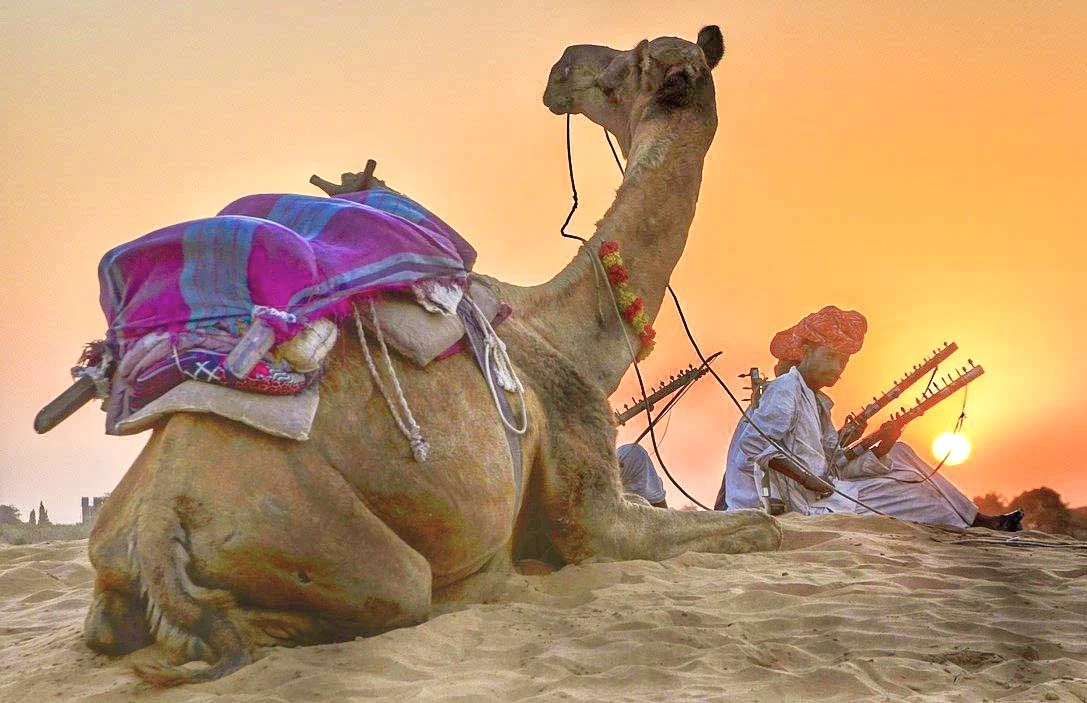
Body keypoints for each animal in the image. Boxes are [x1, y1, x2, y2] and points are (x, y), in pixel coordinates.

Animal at [82, 24, 781, 685]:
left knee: (107, 629)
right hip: (338, 545)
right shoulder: (593, 505)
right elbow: (761, 528)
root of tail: (158, 520)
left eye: (626, 60)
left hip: (115, 549)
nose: (561, 66)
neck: (569, 331)